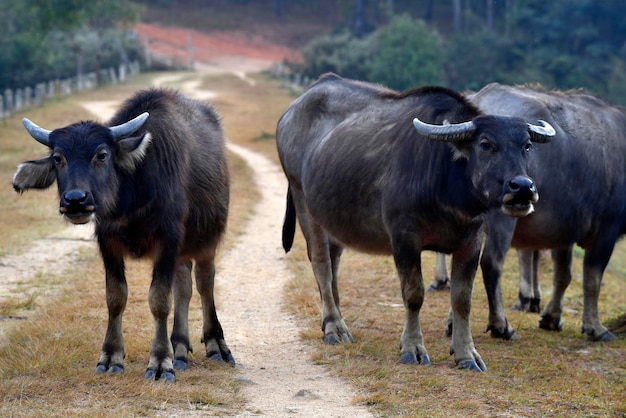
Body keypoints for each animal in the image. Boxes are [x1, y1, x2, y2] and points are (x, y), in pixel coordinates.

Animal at [12, 88, 234, 382]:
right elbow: (115, 297)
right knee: (184, 286)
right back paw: (179, 346)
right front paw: (111, 357)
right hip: (182, 251)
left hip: (207, 237)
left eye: (102, 155)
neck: (132, 199)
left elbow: (159, 299)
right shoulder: (109, 242)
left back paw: (215, 345)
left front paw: (160, 362)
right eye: (58, 158)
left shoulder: (168, 241)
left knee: (204, 282)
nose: (75, 200)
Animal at [272, 73, 552, 370]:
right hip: (302, 200)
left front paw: (466, 354)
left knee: (334, 260)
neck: (446, 183)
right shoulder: (404, 237)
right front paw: (412, 348)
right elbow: (413, 294)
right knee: (321, 262)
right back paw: (334, 327)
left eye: (526, 145)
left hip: (334, 217)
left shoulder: (472, 240)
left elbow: (462, 299)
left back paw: (333, 317)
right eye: (486, 144)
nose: (523, 187)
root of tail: (290, 114)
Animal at [432, 83, 620, 342]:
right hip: (503, 218)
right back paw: (501, 325)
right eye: (486, 145)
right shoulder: (606, 229)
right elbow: (592, 279)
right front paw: (596, 328)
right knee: (491, 263)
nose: (524, 185)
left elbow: (562, 275)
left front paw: (551, 318)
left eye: (528, 145)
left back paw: (453, 323)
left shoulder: (564, 232)